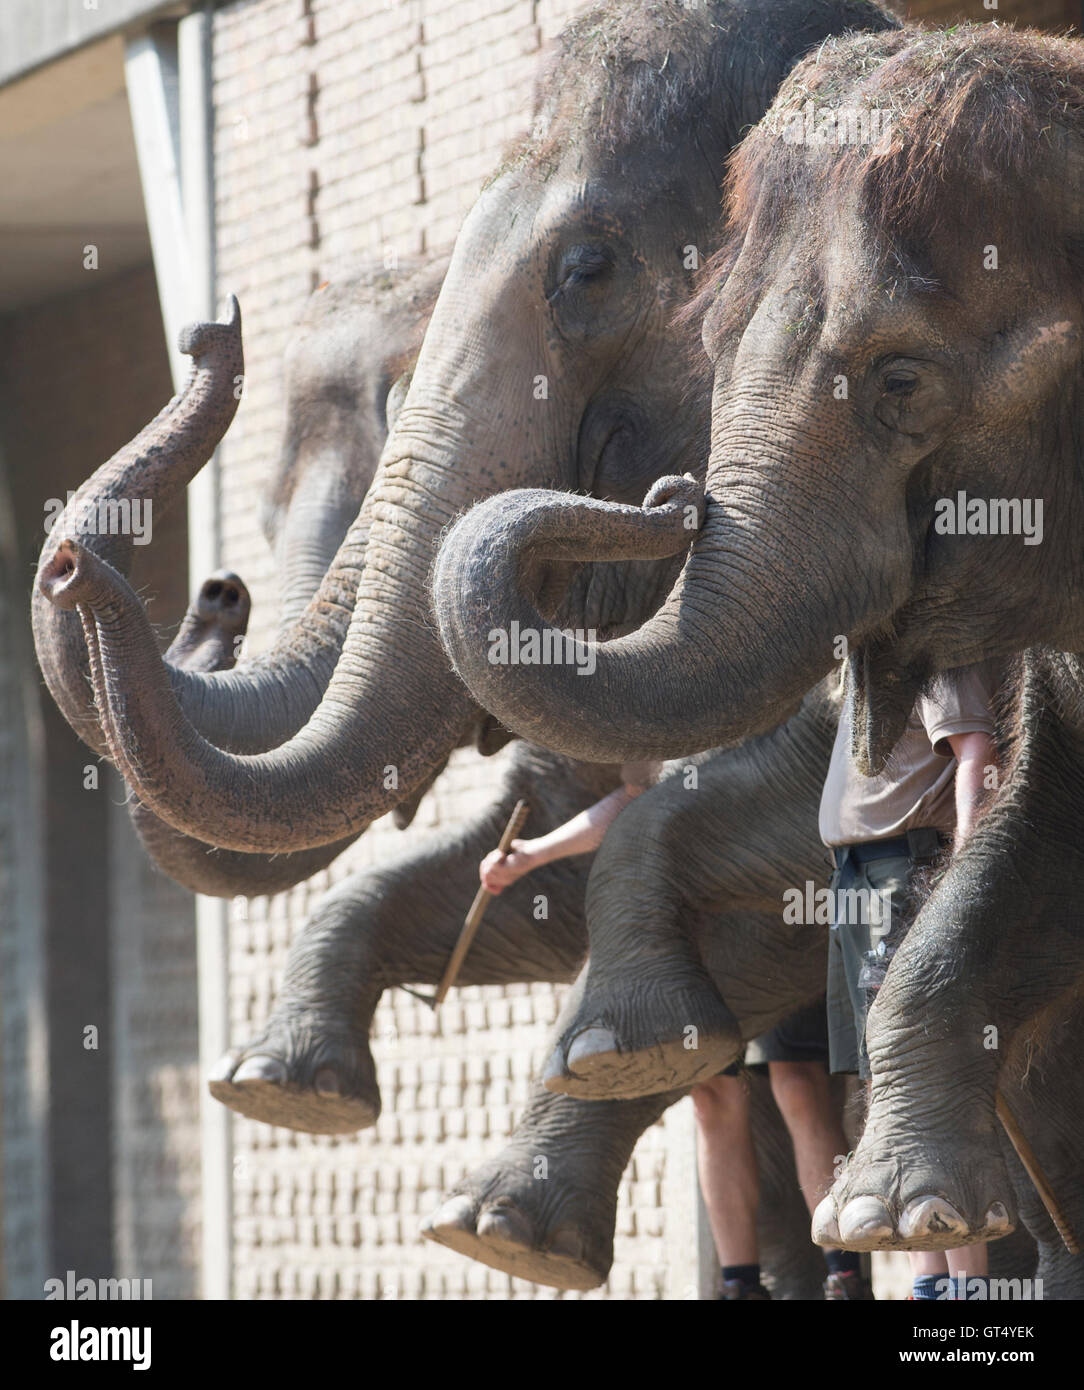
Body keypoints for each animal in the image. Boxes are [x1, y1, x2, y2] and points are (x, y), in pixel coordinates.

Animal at [429, 25, 1084, 1261]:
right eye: (712, 346)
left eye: (901, 376)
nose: (671, 494)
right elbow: (1032, 825)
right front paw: (893, 1213)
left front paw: (890, 1219)